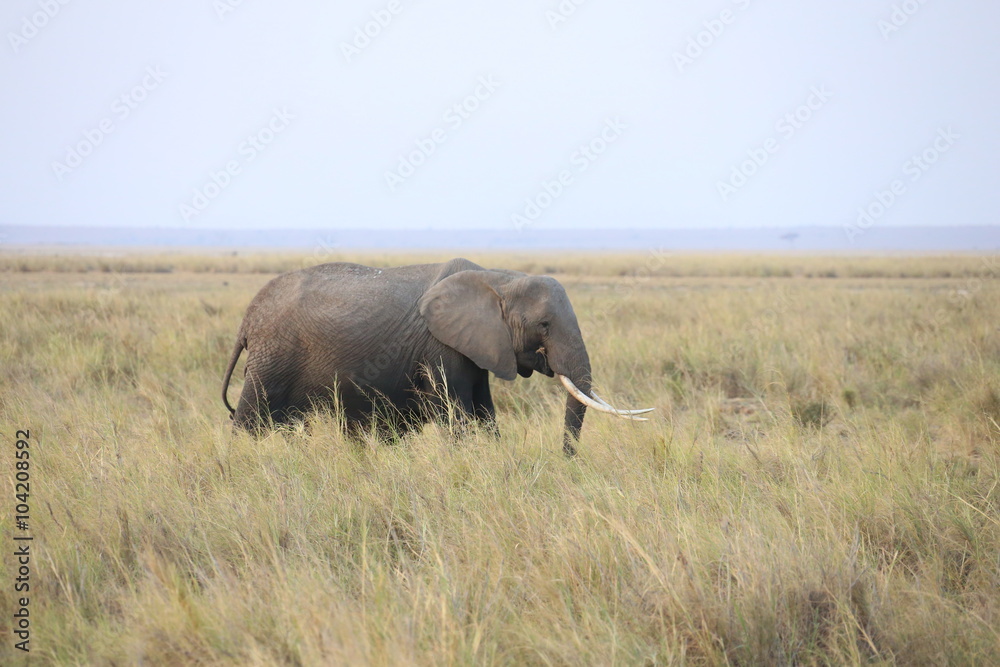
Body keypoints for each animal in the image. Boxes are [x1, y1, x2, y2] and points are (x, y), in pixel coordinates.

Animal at [221, 258, 652, 455]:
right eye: (544, 325)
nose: (566, 460)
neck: (499, 278)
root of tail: (246, 320)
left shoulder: (477, 346)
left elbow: (485, 411)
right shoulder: (440, 346)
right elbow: (457, 411)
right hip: (273, 356)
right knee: (249, 418)